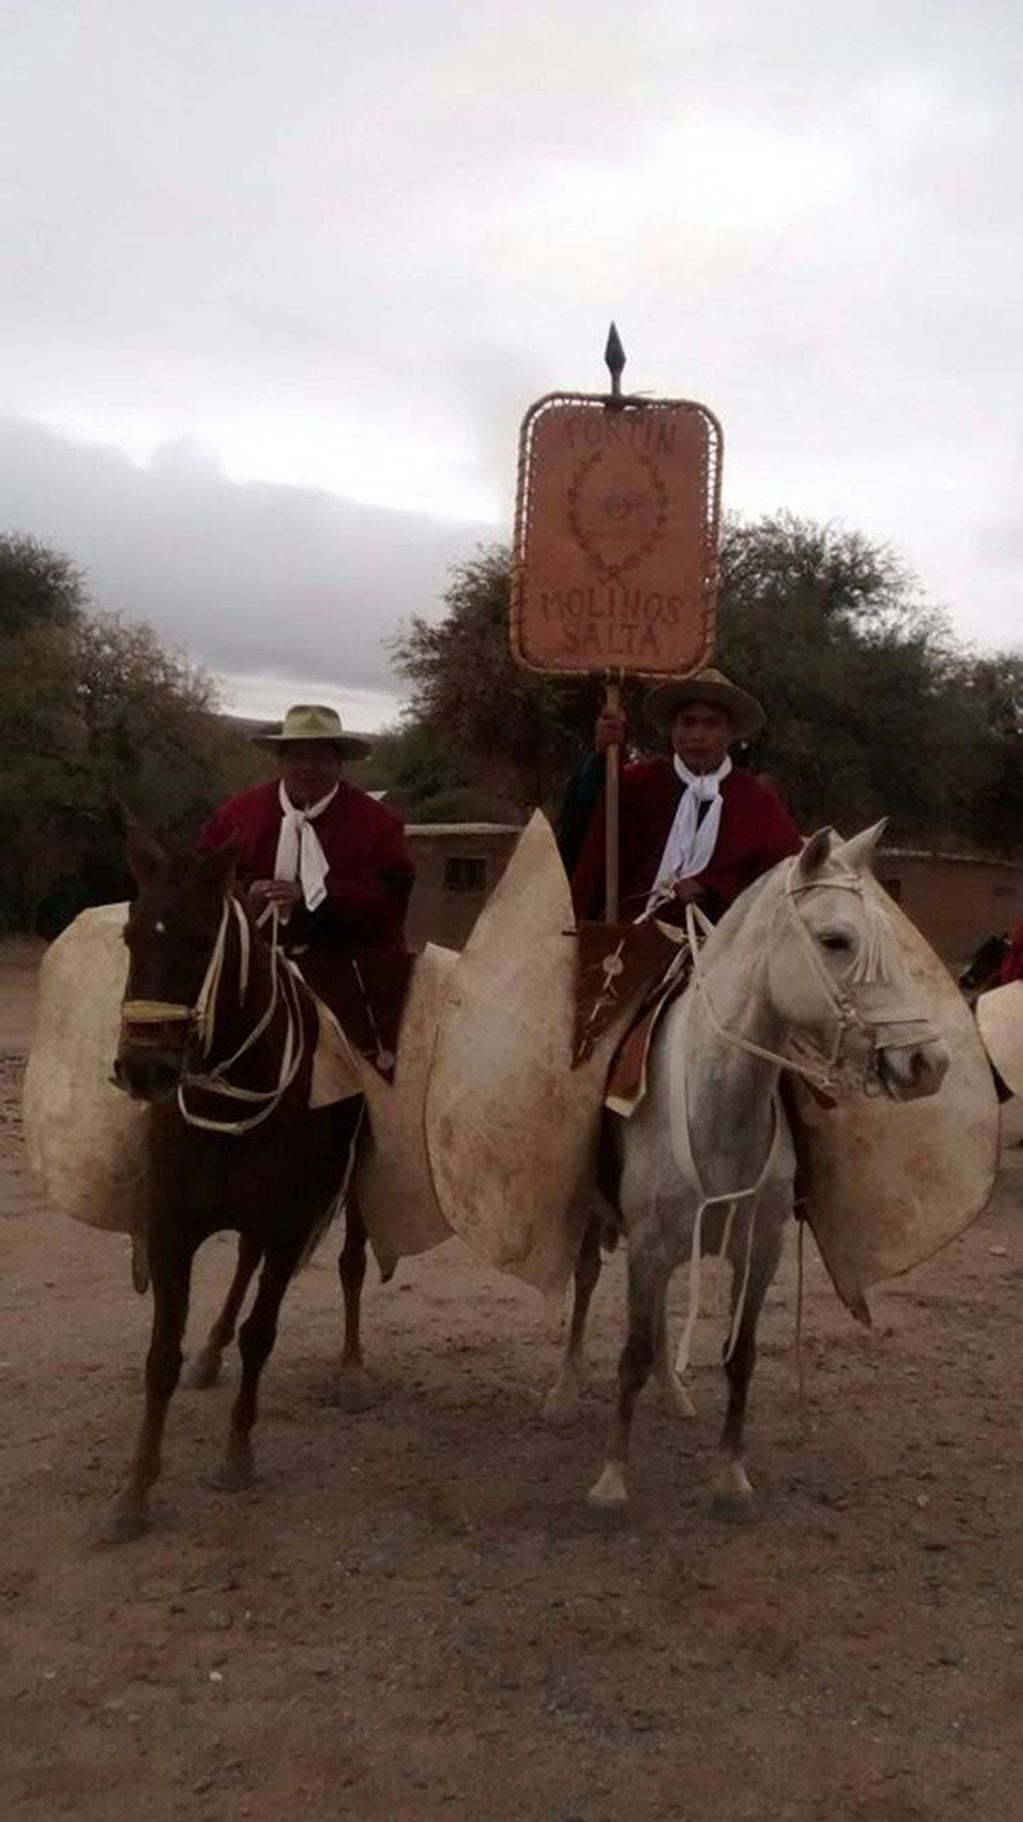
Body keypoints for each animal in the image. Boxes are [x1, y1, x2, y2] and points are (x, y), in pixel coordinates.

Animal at [103, 834, 364, 1545]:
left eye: (198, 941)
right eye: (132, 935)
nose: (143, 1069)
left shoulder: (288, 1227)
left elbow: (261, 1334)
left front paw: (237, 1454)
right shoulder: (172, 1231)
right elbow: (160, 1356)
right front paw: (134, 1492)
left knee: (352, 1264)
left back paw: (352, 1367)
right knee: (242, 1264)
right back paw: (211, 1351)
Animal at [568, 827, 955, 1523]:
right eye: (836, 940)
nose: (927, 1062)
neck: (717, 1100)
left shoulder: (758, 1249)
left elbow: (739, 1357)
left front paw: (731, 1478)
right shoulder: (647, 1242)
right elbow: (630, 1355)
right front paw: (611, 1483)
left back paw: (674, 1393)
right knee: (586, 1282)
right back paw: (561, 1387)